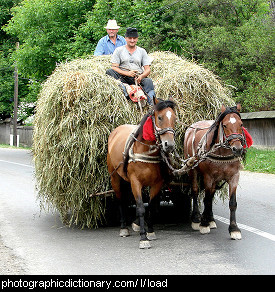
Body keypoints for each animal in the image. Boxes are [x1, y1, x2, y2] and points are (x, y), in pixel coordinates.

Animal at [108, 97, 177, 249]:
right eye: (160, 117)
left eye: (174, 118)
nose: (169, 145)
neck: (145, 151)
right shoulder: (135, 182)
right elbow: (140, 208)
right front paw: (143, 238)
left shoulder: (157, 184)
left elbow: (151, 206)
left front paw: (150, 231)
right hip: (115, 177)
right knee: (120, 199)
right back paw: (124, 228)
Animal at [184, 104, 247, 240]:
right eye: (225, 125)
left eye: (241, 124)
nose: (237, 149)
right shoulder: (208, 177)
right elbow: (206, 200)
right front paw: (203, 224)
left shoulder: (234, 177)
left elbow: (232, 203)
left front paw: (234, 229)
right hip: (193, 170)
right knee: (195, 191)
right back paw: (197, 218)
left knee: (211, 194)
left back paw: (211, 218)